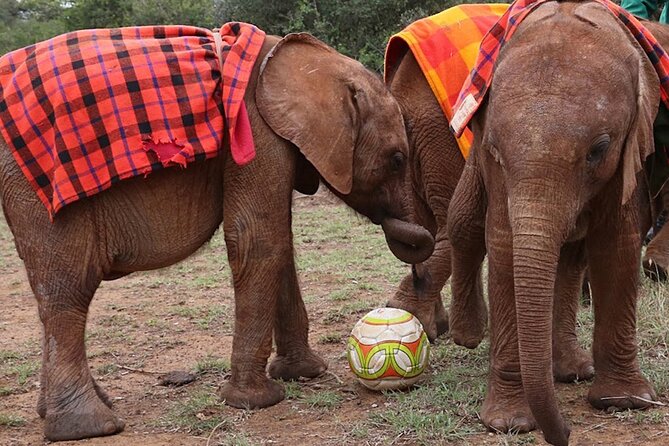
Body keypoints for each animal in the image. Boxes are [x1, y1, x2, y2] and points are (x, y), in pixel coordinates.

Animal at [0, 32, 434, 441]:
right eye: (397, 160)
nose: (417, 267)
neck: (310, 60)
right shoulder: (256, 133)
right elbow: (258, 240)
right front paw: (258, 401)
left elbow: (279, 240)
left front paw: (304, 374)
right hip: (42, 186)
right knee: (68, 289)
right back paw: (90, 427)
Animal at [447, 1, 663, 445]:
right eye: (496, 148)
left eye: (599, 150)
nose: (564, 433)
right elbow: (504, 244)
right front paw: (509, 423)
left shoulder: (633, 148)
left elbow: (616, 244)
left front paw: (625, 402)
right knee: (464, 221)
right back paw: (468, 334)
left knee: (569, 257)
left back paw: (571, 372)